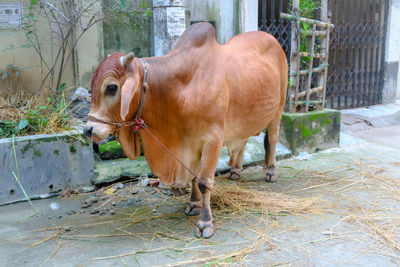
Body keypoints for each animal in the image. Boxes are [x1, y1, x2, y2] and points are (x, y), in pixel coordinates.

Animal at [84, 22, 288, 238]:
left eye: (111, 87)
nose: (88, 130)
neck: (180, 90)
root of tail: (271, 39)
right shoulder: (190, 143)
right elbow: (193, 179)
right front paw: (193, 205)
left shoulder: (212, 140)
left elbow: (204, 182)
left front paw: (205, 223)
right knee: (243, 140)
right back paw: (235, 170)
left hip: (278, 109)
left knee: (273, 139)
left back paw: (271, 172)